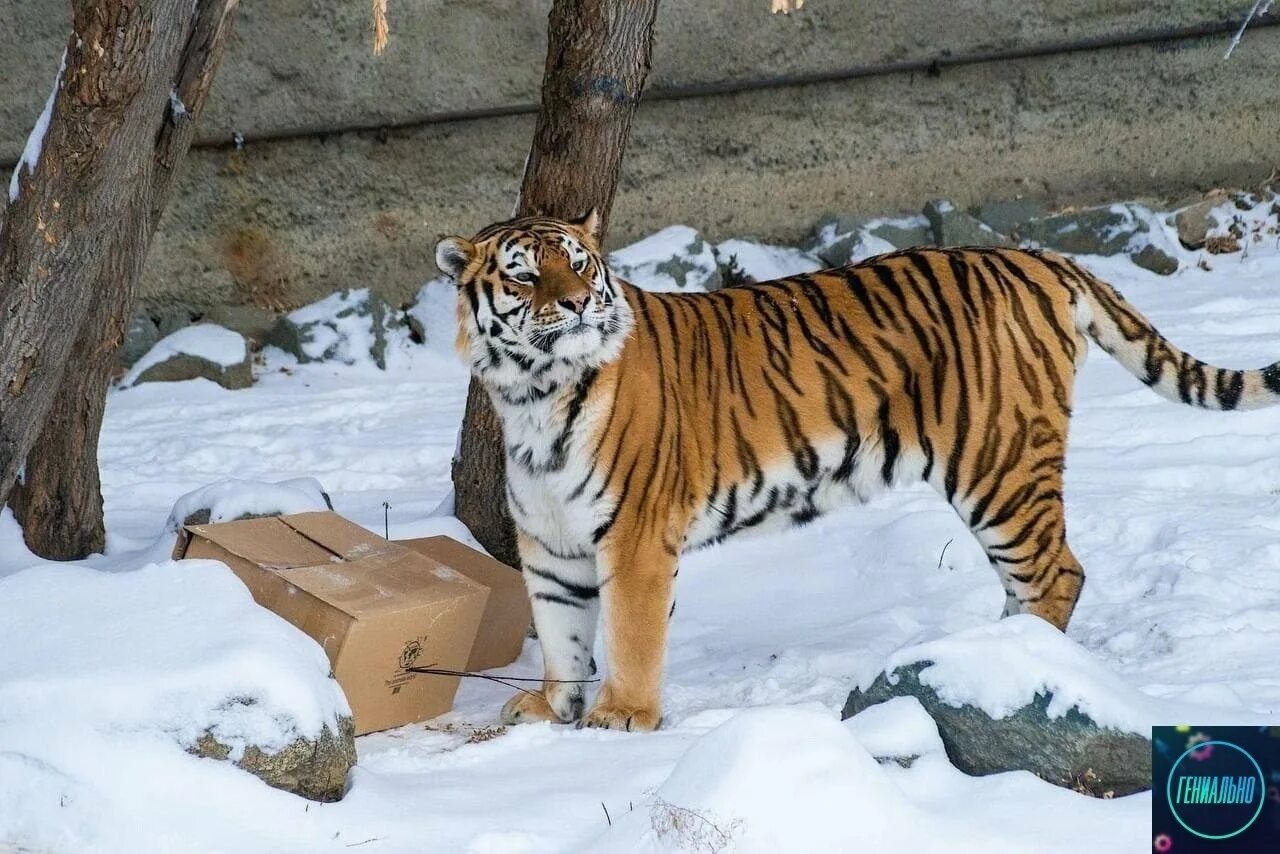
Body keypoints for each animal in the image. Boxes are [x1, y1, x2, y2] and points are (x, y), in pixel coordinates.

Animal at [432, 209, 1280, 732]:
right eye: (526, 276)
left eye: (578, 266)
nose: (579, 305)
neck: (531, 394)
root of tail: (1035, 259)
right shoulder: (550, 542)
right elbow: (562, 633)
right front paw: (553, 712)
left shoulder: (636, 538)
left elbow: (630, 636)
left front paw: (625, 717)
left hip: (1000, 465)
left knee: (1057, 573)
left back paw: (1019, 668)